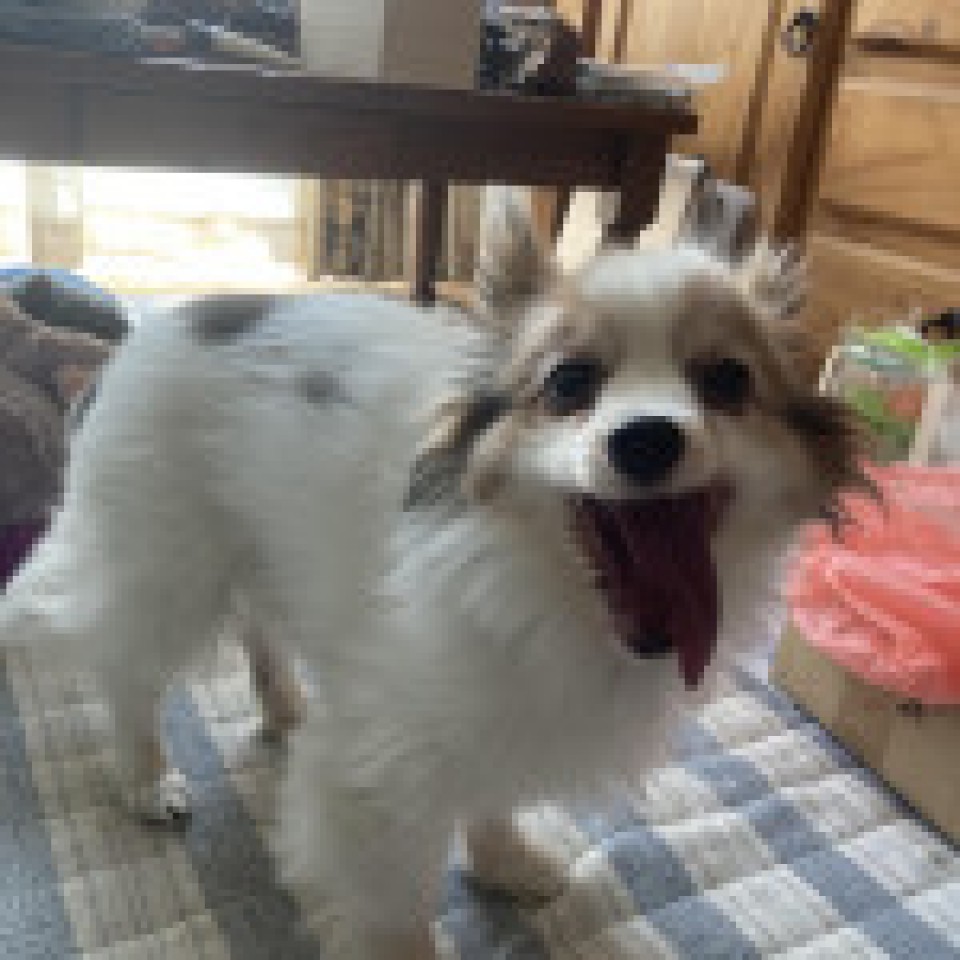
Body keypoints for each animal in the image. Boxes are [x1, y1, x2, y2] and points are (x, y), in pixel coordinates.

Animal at [0, 194, 859, 959]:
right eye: (569, 384)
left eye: (727, 381)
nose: (646, 437)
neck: (558, 595)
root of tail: (141, 335)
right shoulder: (374, 786)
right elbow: (392, 919)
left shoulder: (505, 718)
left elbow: (494, 798)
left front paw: (505, 862)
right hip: (169, 564)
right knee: (128, 670)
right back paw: (148, 777)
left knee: (258, 624)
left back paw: (285, 706)